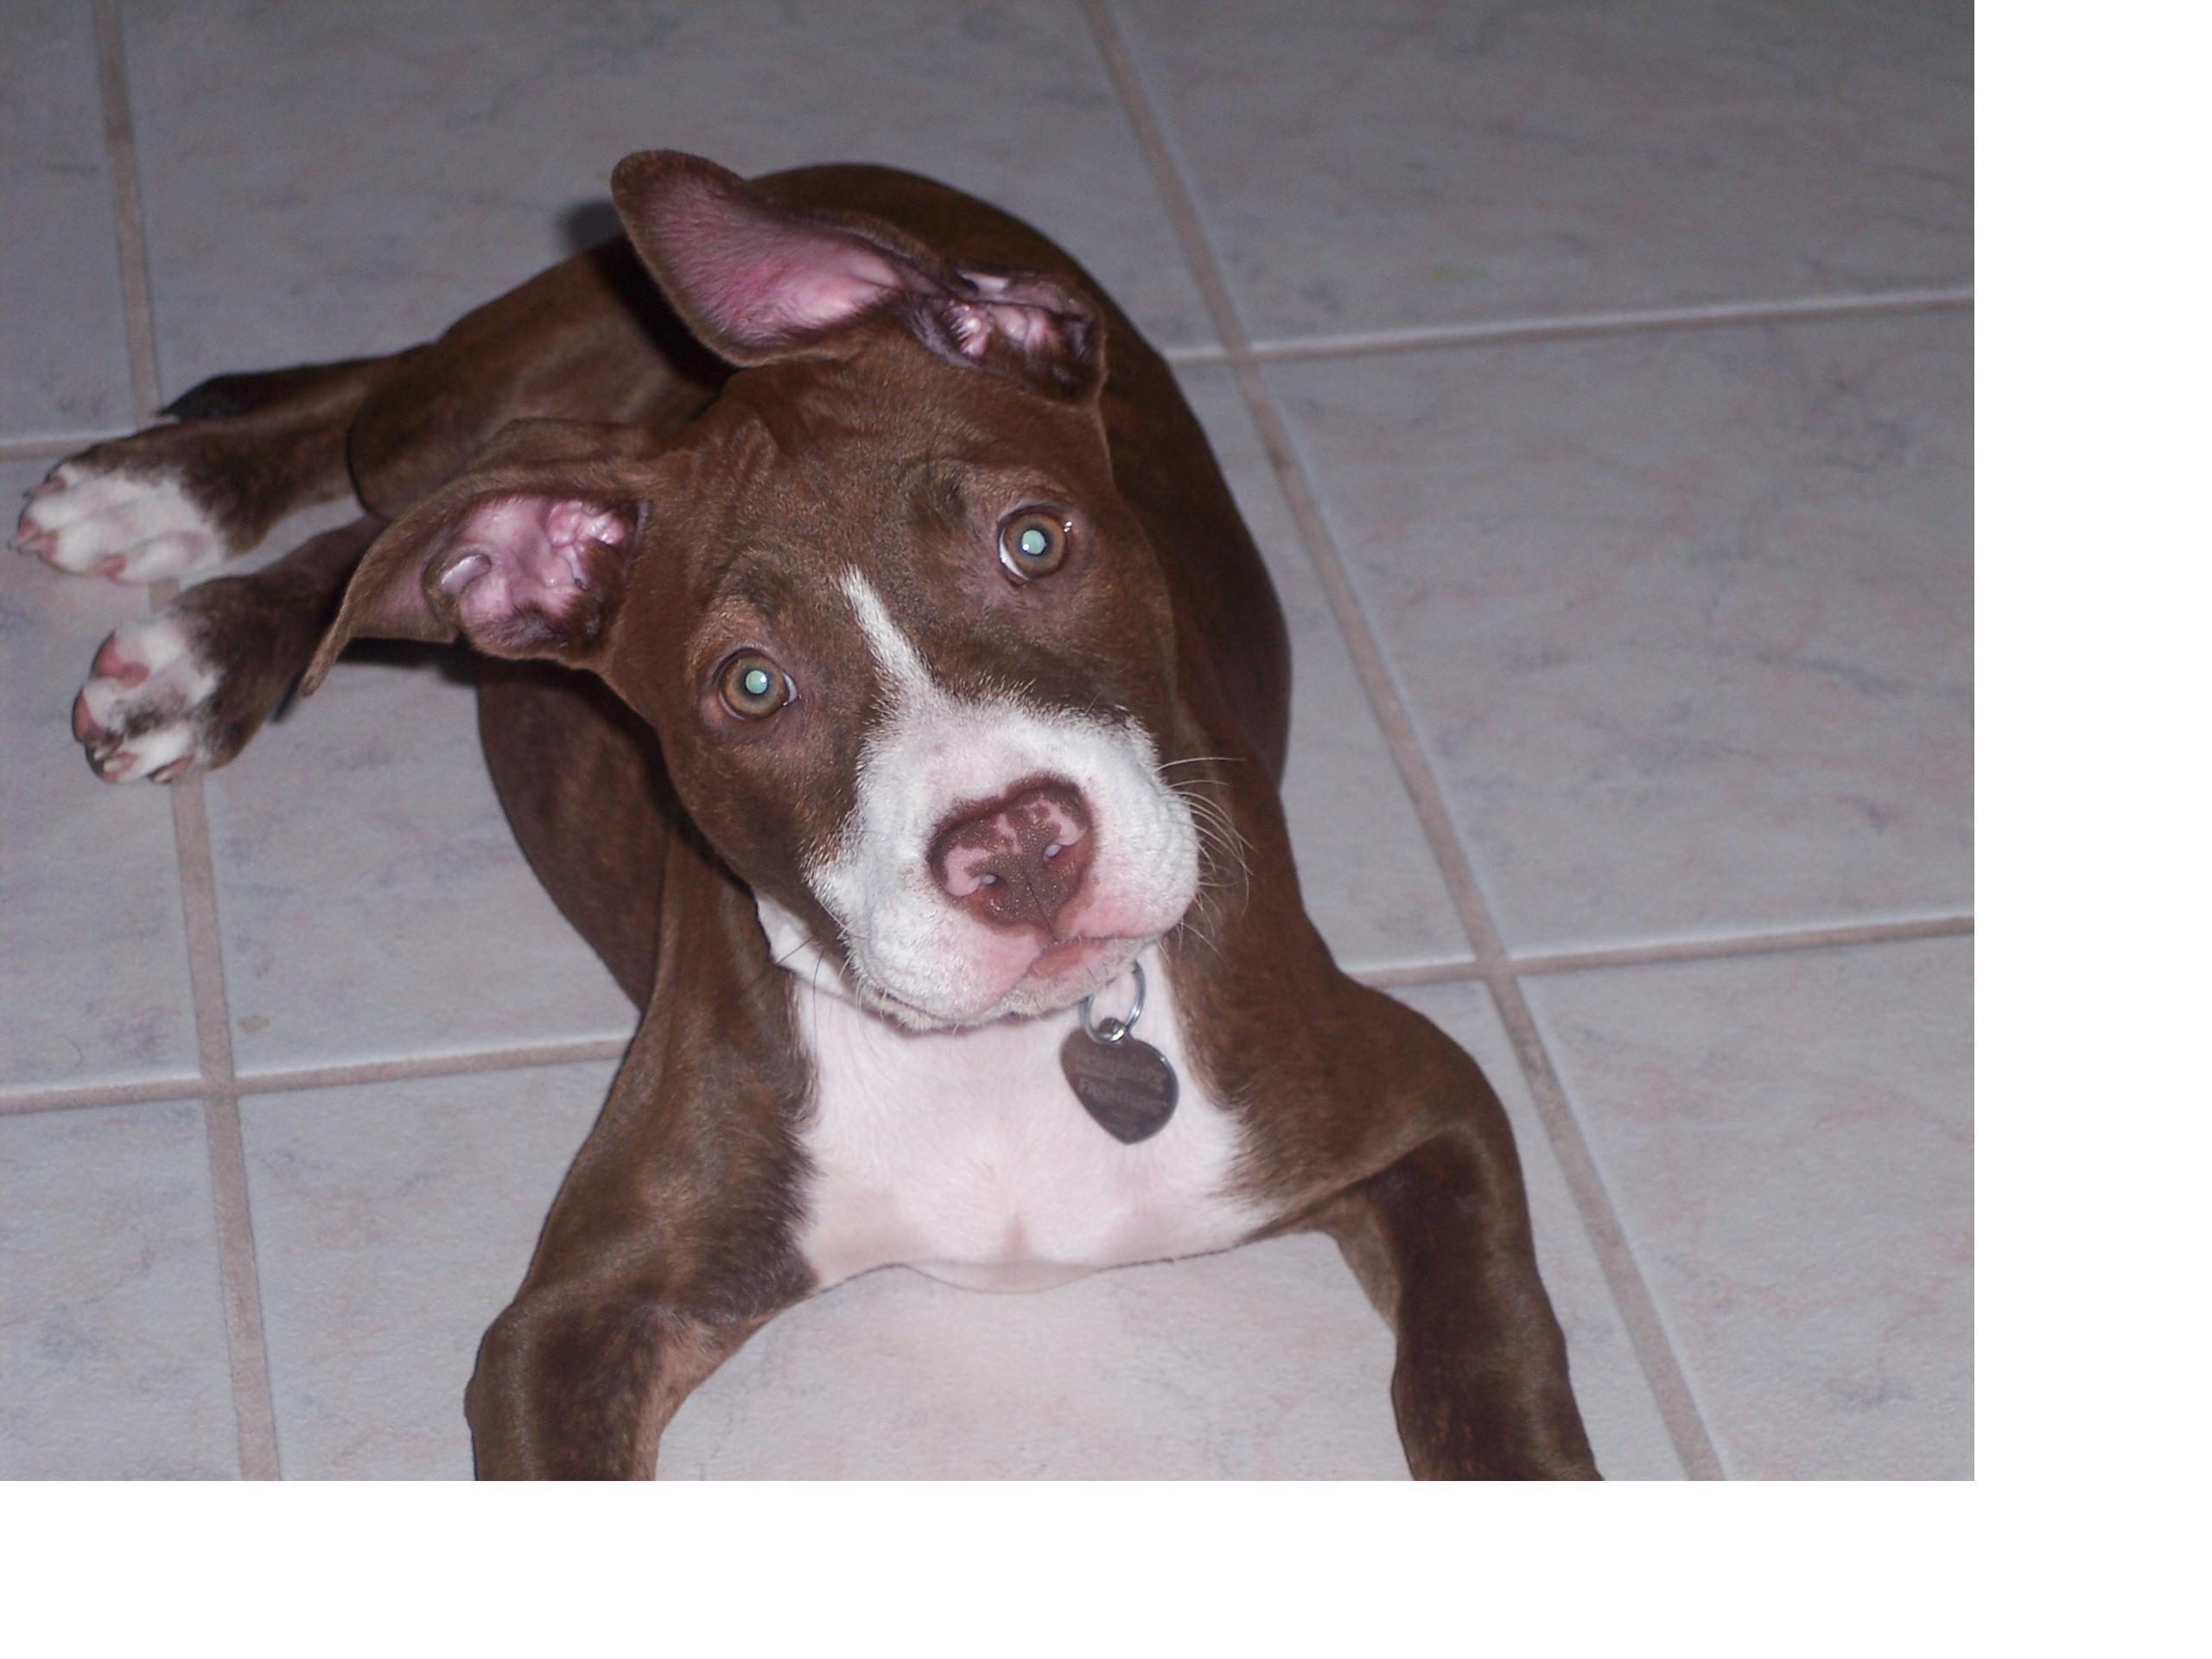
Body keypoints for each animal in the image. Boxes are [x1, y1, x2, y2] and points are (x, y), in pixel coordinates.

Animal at [17, 154, 1598, 1479]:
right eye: (752, 686)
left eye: (1037, 540)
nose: (1020, 849)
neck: (1009, 1061)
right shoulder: (574, 1323)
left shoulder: (1428, 1113)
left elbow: (1489, 1384)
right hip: (489, 427)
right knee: (387, 444)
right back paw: (174, 550)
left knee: (392, 506)